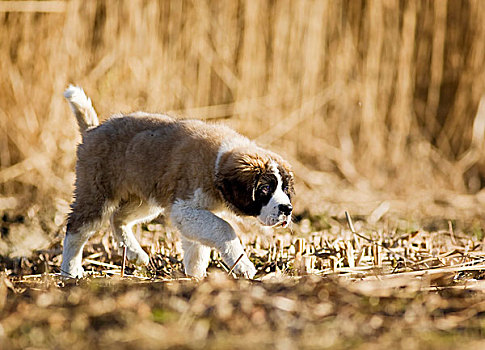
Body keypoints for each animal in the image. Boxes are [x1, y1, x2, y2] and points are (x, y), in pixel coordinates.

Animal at [60, 87, 294, 278]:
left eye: (284, 188)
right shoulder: (184, 207)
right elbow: (224, 227)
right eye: (265, 188)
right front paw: (242, 265)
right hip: (96, 194)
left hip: (146, 200)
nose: (287, 209)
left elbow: (197, 248)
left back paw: (135, 254)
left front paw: (195, 277)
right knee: (77, 228)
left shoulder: (191, 213)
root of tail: (92, 131)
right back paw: (70, 271)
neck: (216, 163)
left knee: (118, 218)